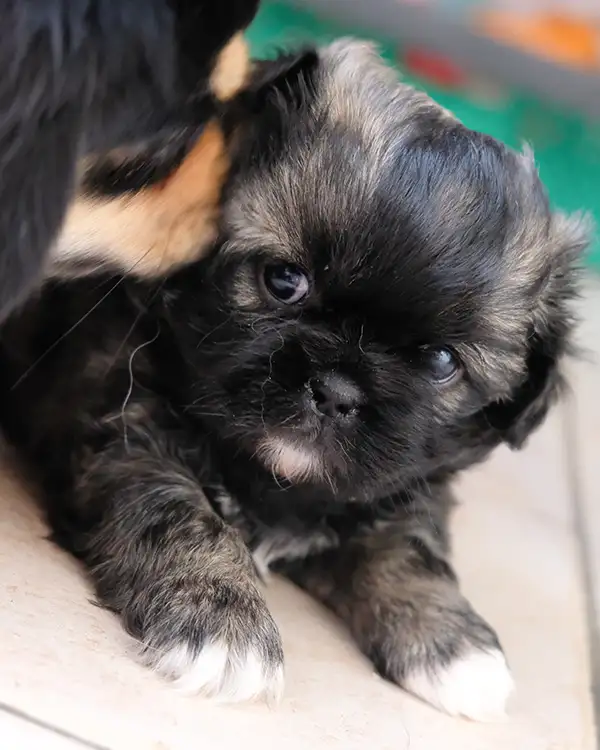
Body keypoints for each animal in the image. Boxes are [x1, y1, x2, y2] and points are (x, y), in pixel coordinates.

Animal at [0, 42, 588, 724]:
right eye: (283, 280)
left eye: (442, 361)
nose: (335, 390)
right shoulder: (125, 425)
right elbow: (178, 511)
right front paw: (224, 624)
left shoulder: (401, 485)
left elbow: (408, 544)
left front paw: (451, 641)